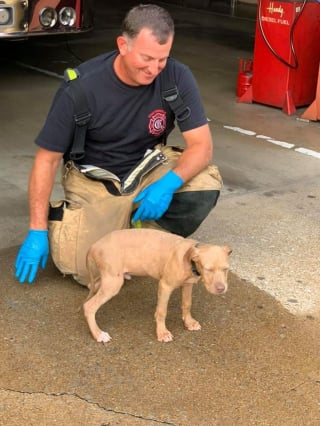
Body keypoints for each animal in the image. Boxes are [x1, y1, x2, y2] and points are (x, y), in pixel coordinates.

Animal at [84, 230, 231, 342]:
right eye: (208, 269)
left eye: (226, 269)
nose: (221, 289)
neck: (190, 260)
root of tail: (94, 245)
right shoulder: (165, 286)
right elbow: (162, 311)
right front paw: (162, 333)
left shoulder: (188, 285)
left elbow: (187, 304)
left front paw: (189, 322)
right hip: (113, 283)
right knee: (89, 306)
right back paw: (98, 334)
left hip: (109, 278)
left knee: (92, 285)